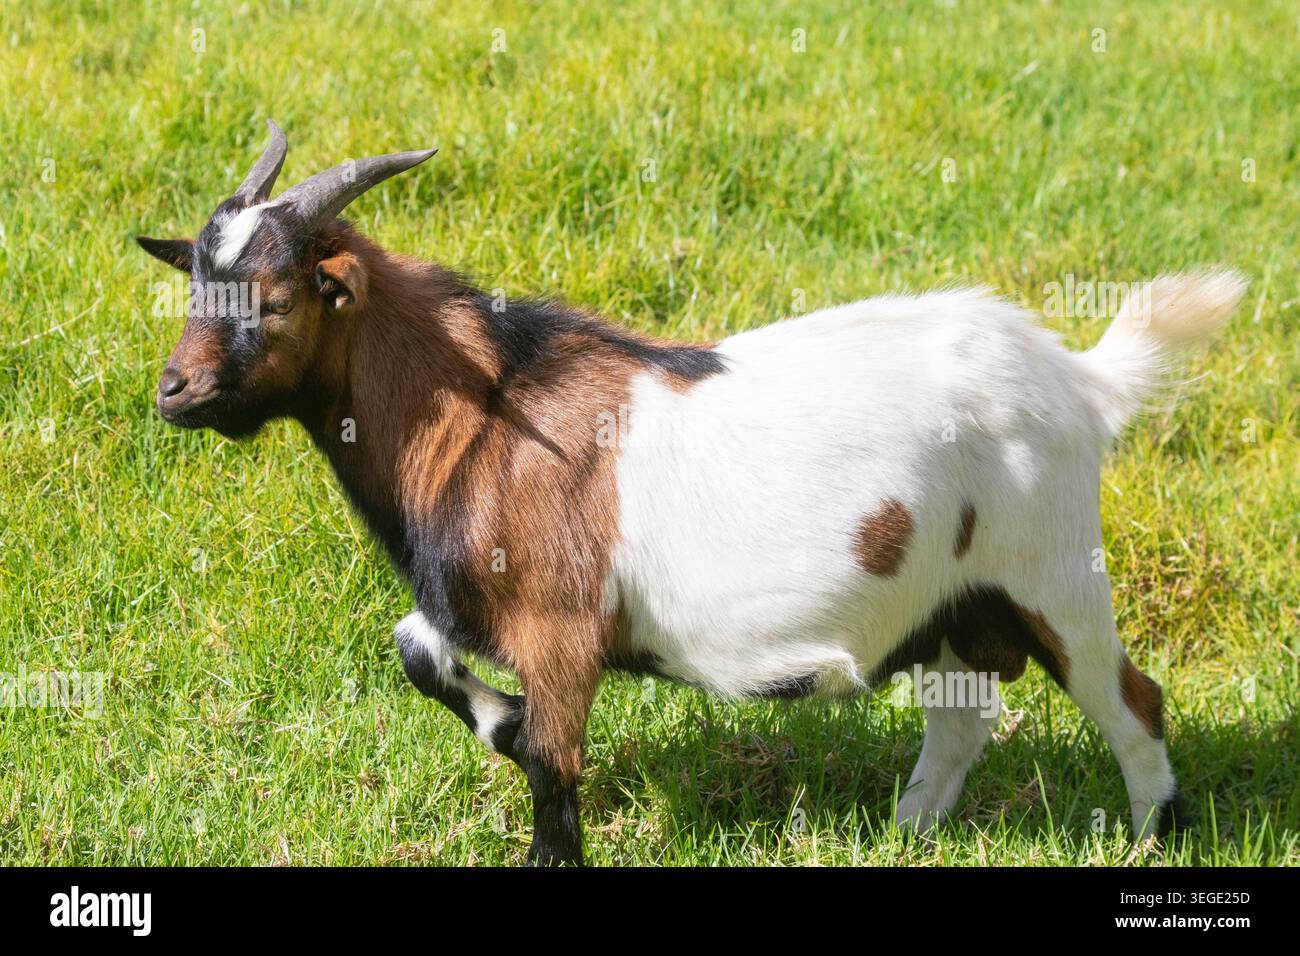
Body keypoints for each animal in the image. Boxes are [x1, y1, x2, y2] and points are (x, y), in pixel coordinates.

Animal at [137, 121, 1245, 864]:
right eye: (195, 280)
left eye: (278, 297)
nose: (173, 390)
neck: (487, 410)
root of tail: (1079, 376)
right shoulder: (470, 603)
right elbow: (418, 648)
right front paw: (496, 720)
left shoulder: (561, 625)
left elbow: (551, 759)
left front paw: (535, 797)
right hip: (948, 596)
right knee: (965, 717)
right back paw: (902, 832)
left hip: (1054, 571)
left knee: (1130, 698)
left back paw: (1151, 837)